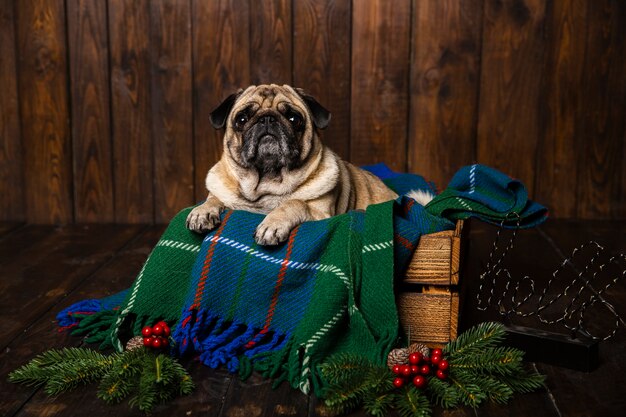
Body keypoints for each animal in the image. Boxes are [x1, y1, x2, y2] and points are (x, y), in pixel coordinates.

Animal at [185, 83, 426, 244]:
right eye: (242, 119)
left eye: (294, 119)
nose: (267, 119)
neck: (266, 183)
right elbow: (214, 197)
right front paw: (202, 211)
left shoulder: (322, 216)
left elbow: (294, 203)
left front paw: (272, 224)